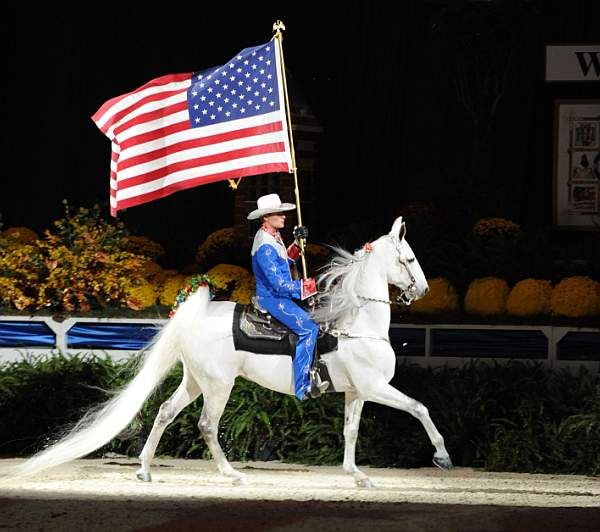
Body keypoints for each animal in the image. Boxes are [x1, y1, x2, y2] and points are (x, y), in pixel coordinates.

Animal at [11, 216, 452, 486]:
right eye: (410, 258)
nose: (422, 290)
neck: (357, 323)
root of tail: (194, 317)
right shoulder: (375, 387)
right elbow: (420, 408)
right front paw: (442, 457)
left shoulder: (357, 392)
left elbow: (351, 431)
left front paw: (356, 475)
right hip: (219, 386)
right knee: (207, 425)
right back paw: (232, 475)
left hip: (195, 381)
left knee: (165, 413)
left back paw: (145, 471)